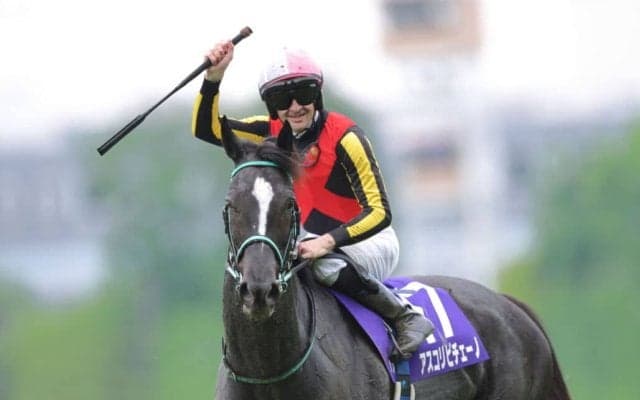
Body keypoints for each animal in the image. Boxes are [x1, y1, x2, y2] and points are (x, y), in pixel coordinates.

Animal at [214, 122, 571, 400]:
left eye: (289, 205)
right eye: (230, 205)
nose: (259, 290)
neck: (268, 372)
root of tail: (511, 305)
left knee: (335, 266)